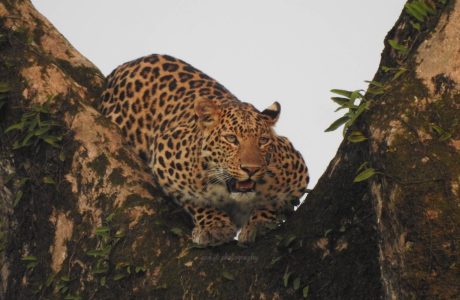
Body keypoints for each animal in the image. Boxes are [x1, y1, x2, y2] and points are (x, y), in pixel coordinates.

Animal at [100, 54, 310, 245]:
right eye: (231, 139)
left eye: (263, 141)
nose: (251, 169)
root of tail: (127, 63)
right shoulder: (164, 159)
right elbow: (195, 201)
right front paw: (215, 226)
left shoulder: (297, 172)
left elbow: (275, 202)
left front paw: (259, 223)